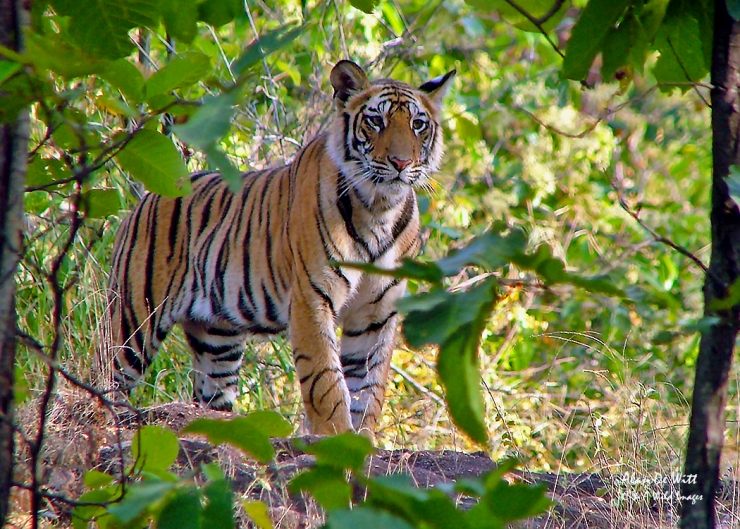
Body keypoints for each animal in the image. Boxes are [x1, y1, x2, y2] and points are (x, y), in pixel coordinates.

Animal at [105, 60, 455, 439]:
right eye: (376, 121)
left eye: (418, 124)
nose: (401, 163)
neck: (380, 208)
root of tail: (147, 197)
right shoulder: (311, 298)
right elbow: (326, 382)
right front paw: (336, 439)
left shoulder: (376, 315)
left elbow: (368, 388)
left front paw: (362, 440)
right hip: (133, 320)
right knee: (107, 373)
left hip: (216, 341)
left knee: (212, 394)